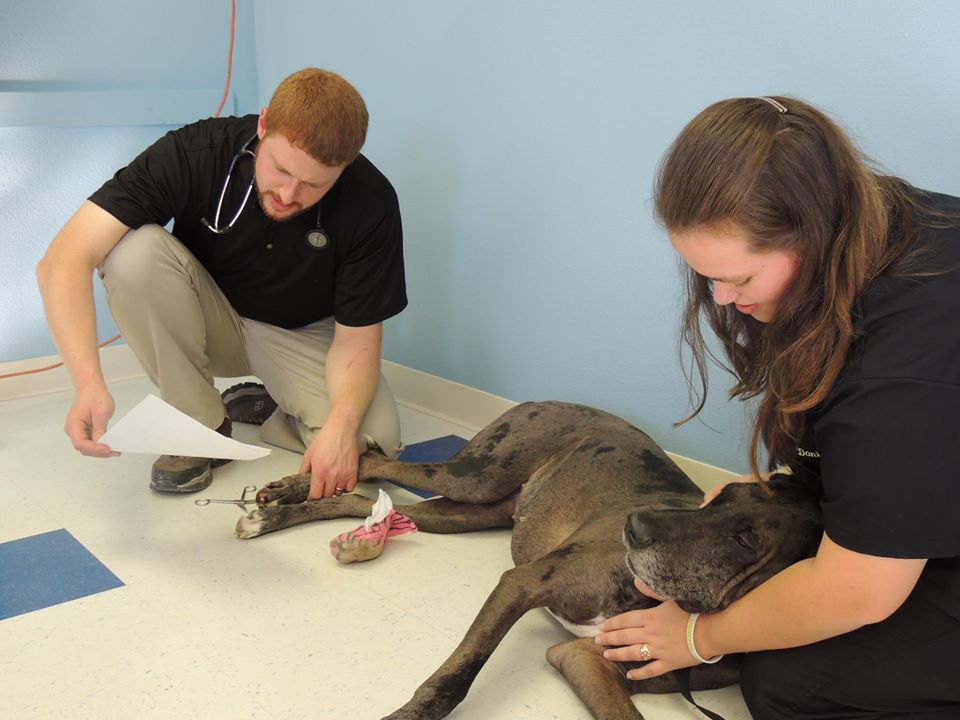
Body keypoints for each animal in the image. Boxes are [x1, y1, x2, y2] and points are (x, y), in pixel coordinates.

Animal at [231, 402, 816, 716]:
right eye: (719, 499)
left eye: (746, 539)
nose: (635, 527)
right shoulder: (524, 582)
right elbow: (453, 680)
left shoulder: (582, 659)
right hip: (475, 475)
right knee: (374, 461)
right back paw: (289, 488)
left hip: (472, 511)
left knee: (364, 496)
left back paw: (282, 515)